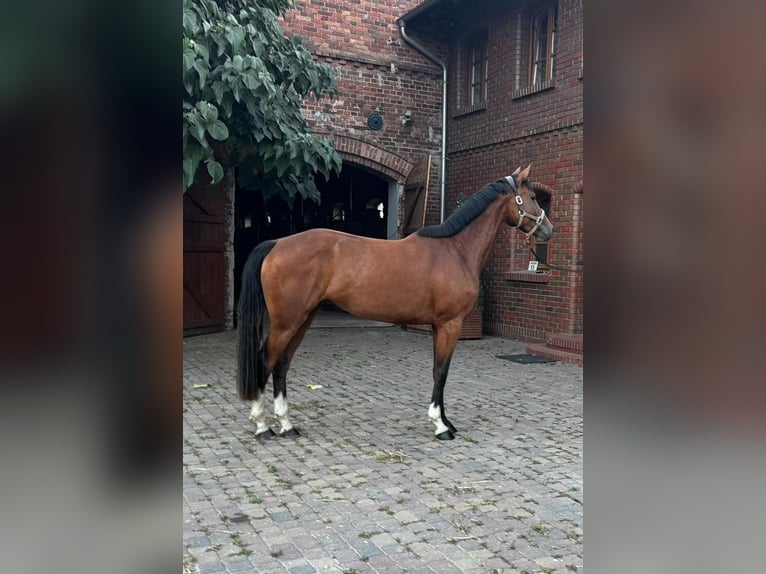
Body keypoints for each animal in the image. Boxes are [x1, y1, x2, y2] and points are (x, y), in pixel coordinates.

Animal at [238, 164, 552, 444]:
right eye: (532, 197)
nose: (548, 230)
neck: (456, 249)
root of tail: (277, 243)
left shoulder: (438, 326)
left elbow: (438, 372)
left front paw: (445, 420)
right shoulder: (451, 324)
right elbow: (441, 372)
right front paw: (440, 426)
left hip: (303, 319)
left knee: (281, 365)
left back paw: (287, 425)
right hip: (286, 322)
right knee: (265, 361)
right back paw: (262, 426)